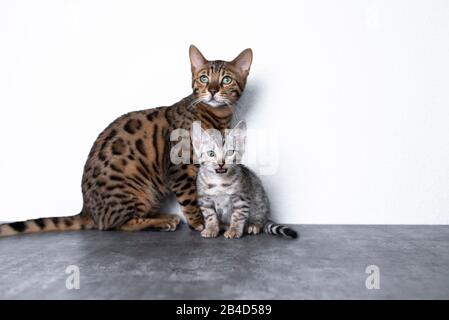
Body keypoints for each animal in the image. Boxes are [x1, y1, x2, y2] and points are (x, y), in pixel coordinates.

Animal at [0, 45, 252, 236]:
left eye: (226, 80)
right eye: (203, 78)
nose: (213, 90)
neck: (216, 117)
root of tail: (87, 209)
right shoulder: (180, 166)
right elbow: (191, 198)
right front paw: (199, 222)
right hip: (130, 189)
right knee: (118, 224)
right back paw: (162, 221)